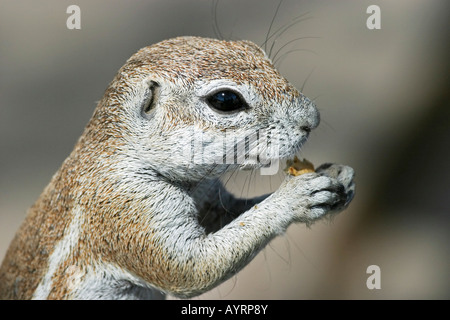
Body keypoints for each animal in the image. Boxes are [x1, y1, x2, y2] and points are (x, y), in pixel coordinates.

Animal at [0, 36, 356, 298]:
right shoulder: (127, 204)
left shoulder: (208, 197)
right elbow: (189, 268)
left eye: (254, 49)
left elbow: (230, 213)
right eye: (225, 100)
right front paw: (295, 196)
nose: (312, 119)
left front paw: (337, 174)